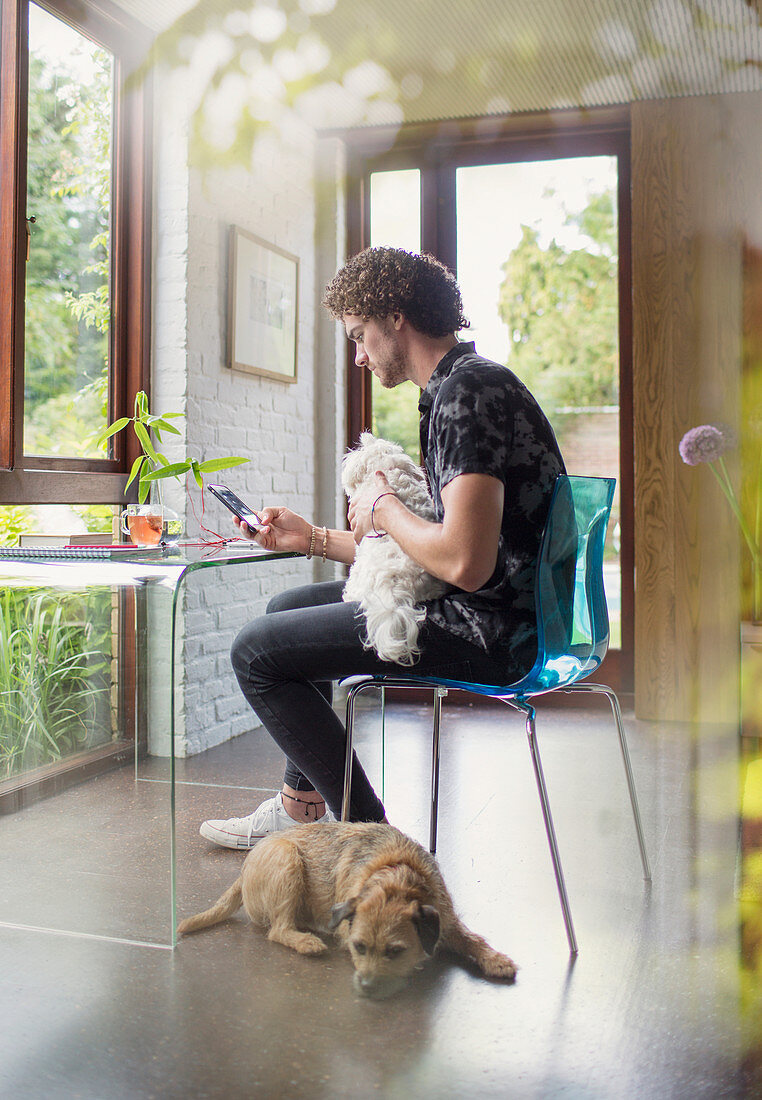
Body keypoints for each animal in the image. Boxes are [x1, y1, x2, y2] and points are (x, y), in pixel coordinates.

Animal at [178, 827, 514, 998]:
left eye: (396, 951)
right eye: (359, 947)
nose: (366, 987)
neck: (397, 875)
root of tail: (245, 868)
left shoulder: (446, 918)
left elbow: (473, 938)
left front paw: (495, 958)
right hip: (287, 859)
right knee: (278, 929)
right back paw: (306, 941)